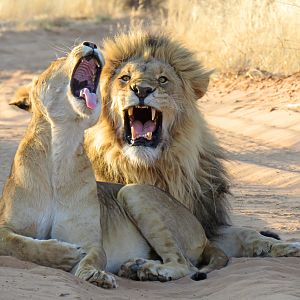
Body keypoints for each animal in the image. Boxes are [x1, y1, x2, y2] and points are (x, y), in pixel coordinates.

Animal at [1, 41, 229, 286]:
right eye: (57, 61)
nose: (90, 43)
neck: (61, 148)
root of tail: (204, 234)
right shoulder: (5, 227)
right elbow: (20, 244)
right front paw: (64, 253)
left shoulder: (92, 242)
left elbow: (93, 257)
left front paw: (94, 274)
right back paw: (136, 267)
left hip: (133, 192)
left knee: (184, 264)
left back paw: (148, 270)